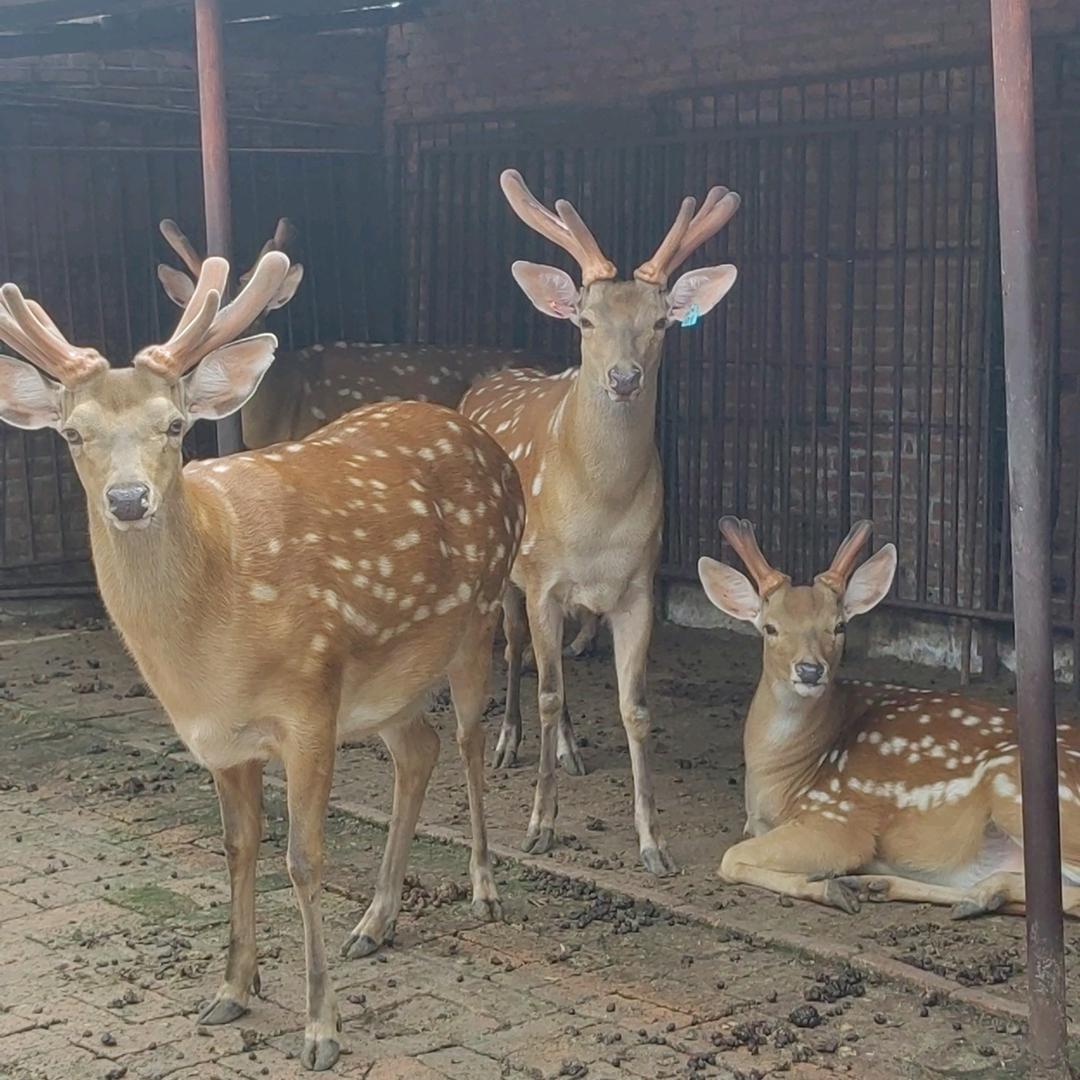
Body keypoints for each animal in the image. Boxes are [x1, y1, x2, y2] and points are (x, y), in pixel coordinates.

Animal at [0, 250, 525, 1071]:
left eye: (175, 424)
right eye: (74, 433)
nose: (129, 499)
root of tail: (484, 440)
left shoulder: (309, 701)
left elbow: (303, 859)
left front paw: (321, 1029)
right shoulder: (218, 737)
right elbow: (237, 847)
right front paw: (232, 988)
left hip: (479, 617)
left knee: (470, 742)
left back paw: (483, 888)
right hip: (387, 681)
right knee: (421, 749)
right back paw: (376, 921)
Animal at [460, 169, 740, 876]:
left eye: (662, 321)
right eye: (586, 319)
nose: (623, 377)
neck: (595, 515)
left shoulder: (638, 585)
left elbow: (635, 709)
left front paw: (653, 844)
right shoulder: (542, 580)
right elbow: (548, 690)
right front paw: (539, 827)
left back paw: (569, 750)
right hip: (505, 575)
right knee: (518, 653)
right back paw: (508, 743)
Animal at [698, 516, 1080, 919]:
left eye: (839, 626)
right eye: (770, 627)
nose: (809, 670)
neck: (781, 778)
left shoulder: (839, 818)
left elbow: (729, 859)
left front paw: (828, 887)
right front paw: (840, 886)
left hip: (1020, 789)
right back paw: (889, 886)